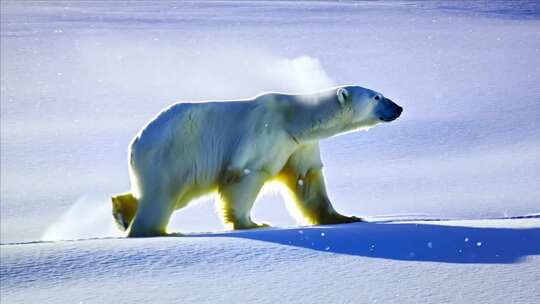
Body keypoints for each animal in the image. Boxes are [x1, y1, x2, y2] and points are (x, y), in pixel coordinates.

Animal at [113, 85, 400, 238]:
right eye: (376, 97)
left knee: (170, 196)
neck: (293, 119)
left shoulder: (297, 145)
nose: (398, 108)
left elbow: (307, 180)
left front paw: (346, 217)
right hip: (172, 155)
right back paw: (155, 230)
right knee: (163, 196)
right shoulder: (261, 134)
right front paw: (252, 223)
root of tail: (135, 143)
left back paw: (121, 212)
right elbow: (246, 176)